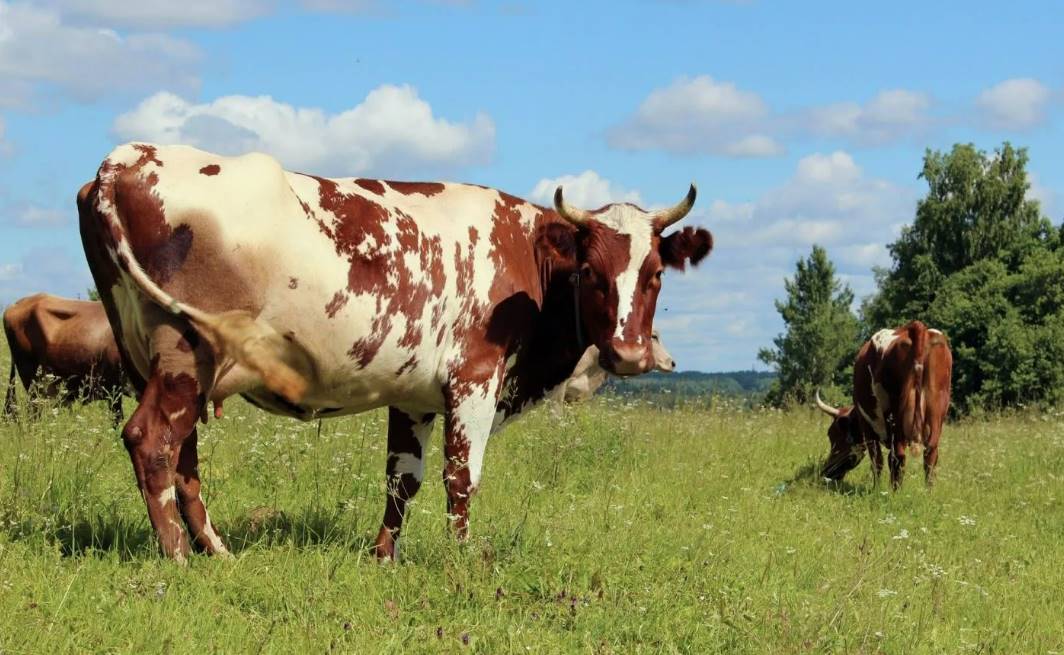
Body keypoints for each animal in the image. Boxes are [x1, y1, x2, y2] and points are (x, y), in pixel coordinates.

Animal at [77, 143, 713, 562]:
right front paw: (460, 560)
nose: (628, 353)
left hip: (155, 359)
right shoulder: (475, 379)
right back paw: (179, 557)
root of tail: (126, 158)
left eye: (656, 274)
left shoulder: (413, 395)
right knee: (153, 442)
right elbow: (462, 476)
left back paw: (217, 551)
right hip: (186, 354)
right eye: (589, 273)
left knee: (182, 458)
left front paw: (385, 557)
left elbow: (401, 480)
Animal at [814, 321, 952, 488]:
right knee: (930, 454)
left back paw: (894, 491)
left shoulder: (867, 426)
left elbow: (876, 460)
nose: (825, 471)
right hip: (937, 411)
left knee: (897, 457)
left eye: (832, 435)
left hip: (895, 417)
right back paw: (927, 491)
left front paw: (876, 489)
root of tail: (917, 327)